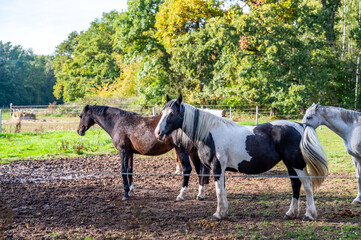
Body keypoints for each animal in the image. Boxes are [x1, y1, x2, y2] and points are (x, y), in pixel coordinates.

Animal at [77, 104, 210, 200]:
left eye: (81, 115)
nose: (79, 131)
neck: (118, 122)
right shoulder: (130, 152)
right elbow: (130, 170)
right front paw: (130, 191)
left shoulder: (123, 151)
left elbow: (123, 170)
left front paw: (125, 193)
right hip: (192, 151)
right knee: (200, 169)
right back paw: (200, 194)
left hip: (182, 150)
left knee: (187, 169)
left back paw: (181, 195)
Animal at [153, 94, 328, 220]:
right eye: (162, 113)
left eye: (172, 113)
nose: (158, 133)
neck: (209, 133)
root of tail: (300, 125)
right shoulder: (220, 170)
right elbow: (222, 191)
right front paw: (224, 212)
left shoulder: (217, 168)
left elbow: (219, 191)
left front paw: (218, 215)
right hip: (289, 164)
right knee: (295, 185)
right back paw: (291, 213)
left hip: (297, 164)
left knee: (307, 185)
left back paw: (309, 215)